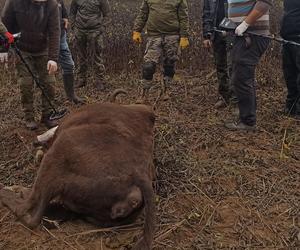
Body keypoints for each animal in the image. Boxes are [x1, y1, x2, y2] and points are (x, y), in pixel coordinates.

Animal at [0, 102, 157, 250]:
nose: (35, 142)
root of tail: (139, 176)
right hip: (81, 208)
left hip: (60, 150)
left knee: (30, 213)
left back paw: (8, 192)